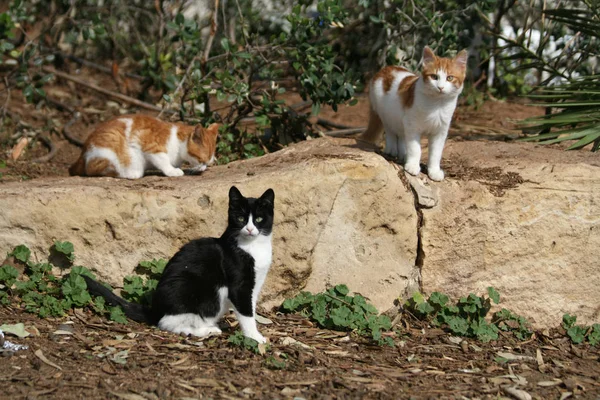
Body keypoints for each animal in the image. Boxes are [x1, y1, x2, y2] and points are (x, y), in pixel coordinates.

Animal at [69, 115, 220, 179]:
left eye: (209, 163)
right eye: (202, 160)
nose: (203, 168)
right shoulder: (152, 148)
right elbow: (163, 161)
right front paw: (172, 171)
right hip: (109, 150)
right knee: (94, 170)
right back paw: (130, 173)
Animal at [82, 186, 274, 342]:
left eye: (258, 219)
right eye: (241, 218)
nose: (250, 229)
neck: (253, 247)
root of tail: (155, 309)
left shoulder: (255, 284)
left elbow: (251, 308)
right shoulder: (239, 286)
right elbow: (246, 313)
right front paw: (255, 337)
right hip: (189, 288)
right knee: (168, 323)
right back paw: (207, 330)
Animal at [358, 45, 466, 181]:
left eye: (449, 78)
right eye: (434, 77)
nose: (440, 87)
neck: (437, 104)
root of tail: (386, 68)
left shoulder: (440, 131)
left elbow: (436, 153)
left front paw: (434, 171)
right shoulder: (412, 125)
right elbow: (415, 148)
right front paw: (413, 166)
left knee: (401, 135)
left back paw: (403, 153)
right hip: (386, 114)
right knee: (390, 132)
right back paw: (391, 149)